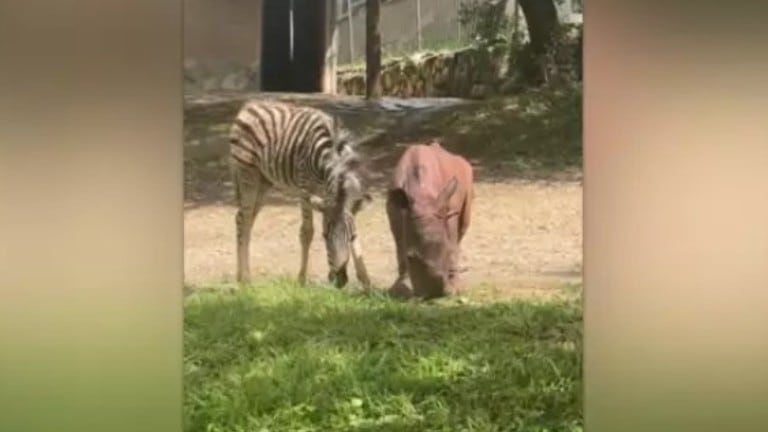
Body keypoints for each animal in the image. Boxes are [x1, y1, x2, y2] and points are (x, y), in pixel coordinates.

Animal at [228, 99, 372, 288]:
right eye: (325, 236)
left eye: (351, 237)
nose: (340, 281)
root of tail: (250, 104)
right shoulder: (305, 190)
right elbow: (307, 232)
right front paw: (302, 279)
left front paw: (365, 279)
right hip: (247, 174)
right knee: (243, 220)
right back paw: (245, 279)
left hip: (264, 182)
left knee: (245, 219)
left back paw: (240, 275)